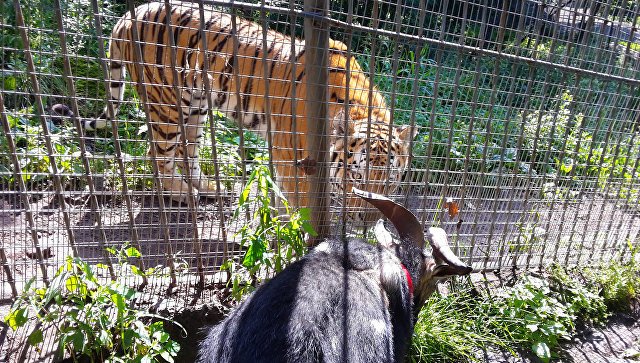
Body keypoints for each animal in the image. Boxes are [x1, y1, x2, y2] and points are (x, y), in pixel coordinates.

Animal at [90, 0, 418, 220]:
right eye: (356, 177)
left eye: (389, 180)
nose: (370, 219)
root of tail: (129, 15)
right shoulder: (291, 160)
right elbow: (302, 205)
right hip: (166, 105)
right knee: (158, 154)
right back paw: (184, 194)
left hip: (196, 106)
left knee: (188, 151)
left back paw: (210, 188)